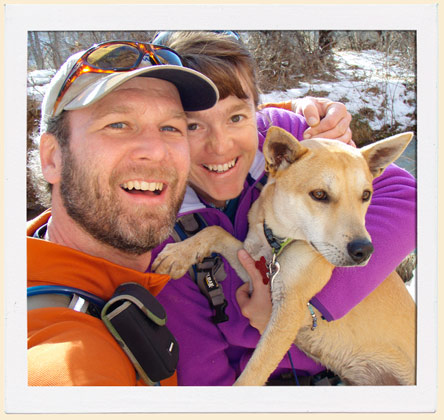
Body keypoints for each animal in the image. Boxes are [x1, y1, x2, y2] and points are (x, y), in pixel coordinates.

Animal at [153, 128, 416, 388]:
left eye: (366, 195)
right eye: (319, 194)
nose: (364, 251)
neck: (278, 242)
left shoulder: (288, 309)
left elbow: (251, 376)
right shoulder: (254, 268)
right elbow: (215, 231)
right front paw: (179, 252)